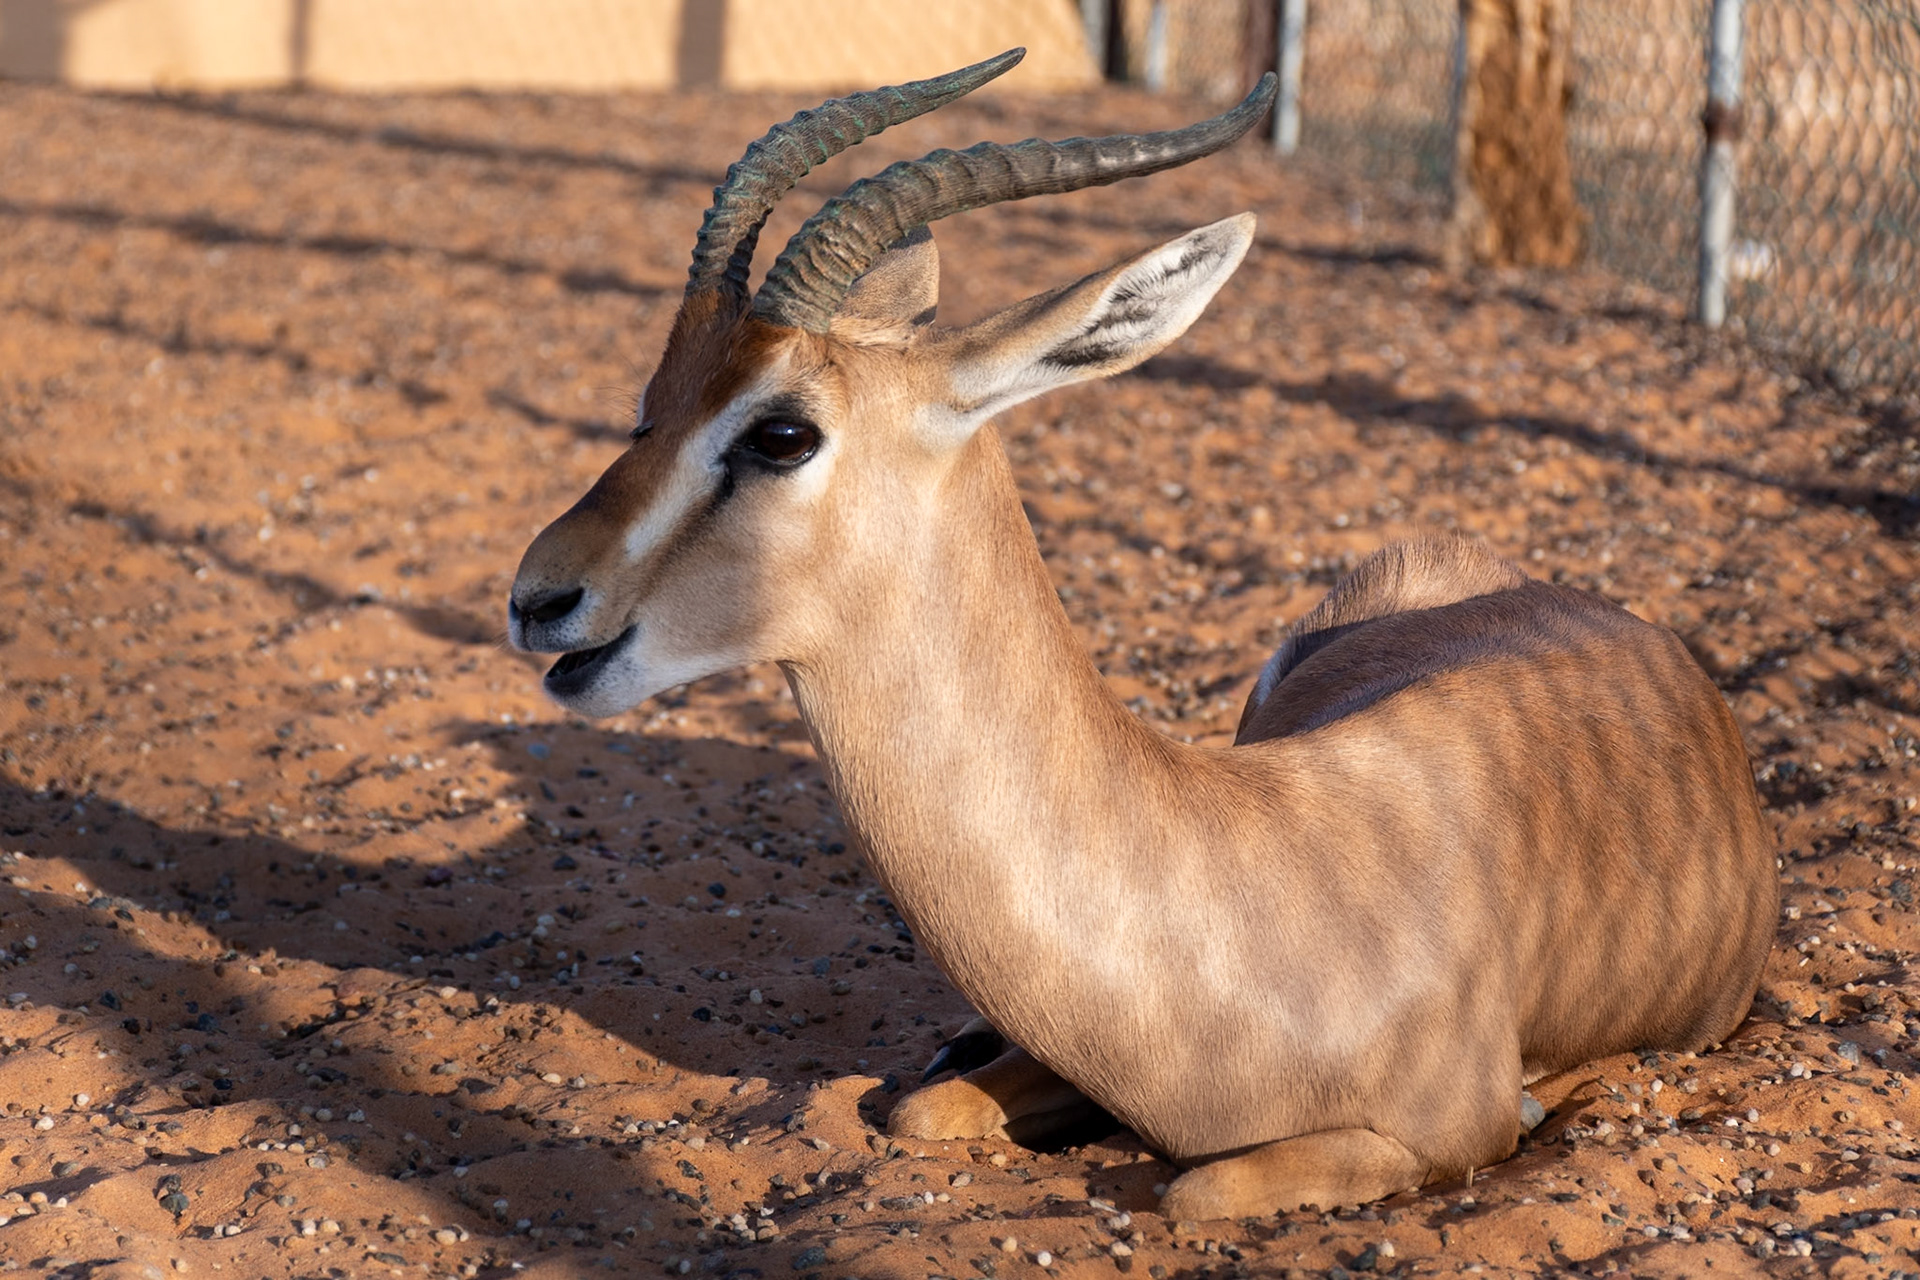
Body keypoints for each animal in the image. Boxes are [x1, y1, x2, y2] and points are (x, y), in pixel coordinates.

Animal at [507, 51, 1777, 1220]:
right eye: (652, 403)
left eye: (781, 431)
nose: (539, 595)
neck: (1236, 884)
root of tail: (1635, 627)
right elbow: (922, 1109)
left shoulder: (1433, 1130)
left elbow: (1195, 1188)